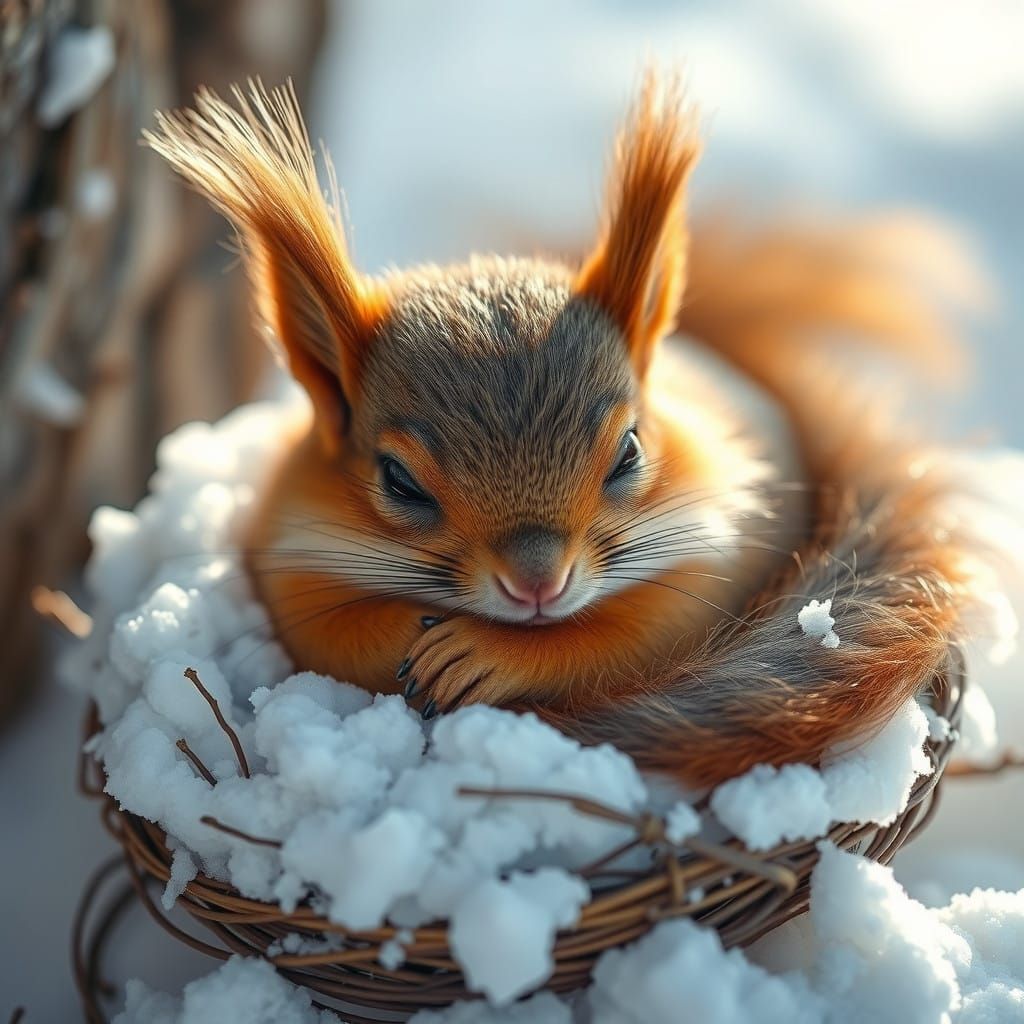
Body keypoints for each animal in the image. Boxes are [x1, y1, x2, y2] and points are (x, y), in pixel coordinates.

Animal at [146, 76, 979, 788]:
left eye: (630, 451)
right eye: (400, 481)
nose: (537, 584)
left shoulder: (719, 555)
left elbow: (627, 638)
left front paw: (479, 653)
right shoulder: (288, 554)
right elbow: (327, 639)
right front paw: (410, 634)